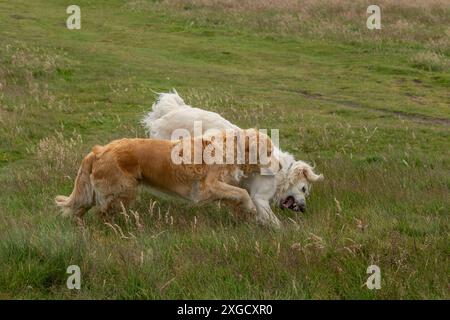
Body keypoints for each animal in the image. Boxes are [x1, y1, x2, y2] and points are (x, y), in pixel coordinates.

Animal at [56, 129, 274, 224]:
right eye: (270, 152)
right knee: (100, 213)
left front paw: (246, 214)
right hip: (122, 191)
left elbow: (237, 195)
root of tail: (99, 151)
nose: (279, 166)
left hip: (99, 193)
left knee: (79, 208)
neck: (229, 148)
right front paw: (251, 208)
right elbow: (242, 192)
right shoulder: (206, 188)